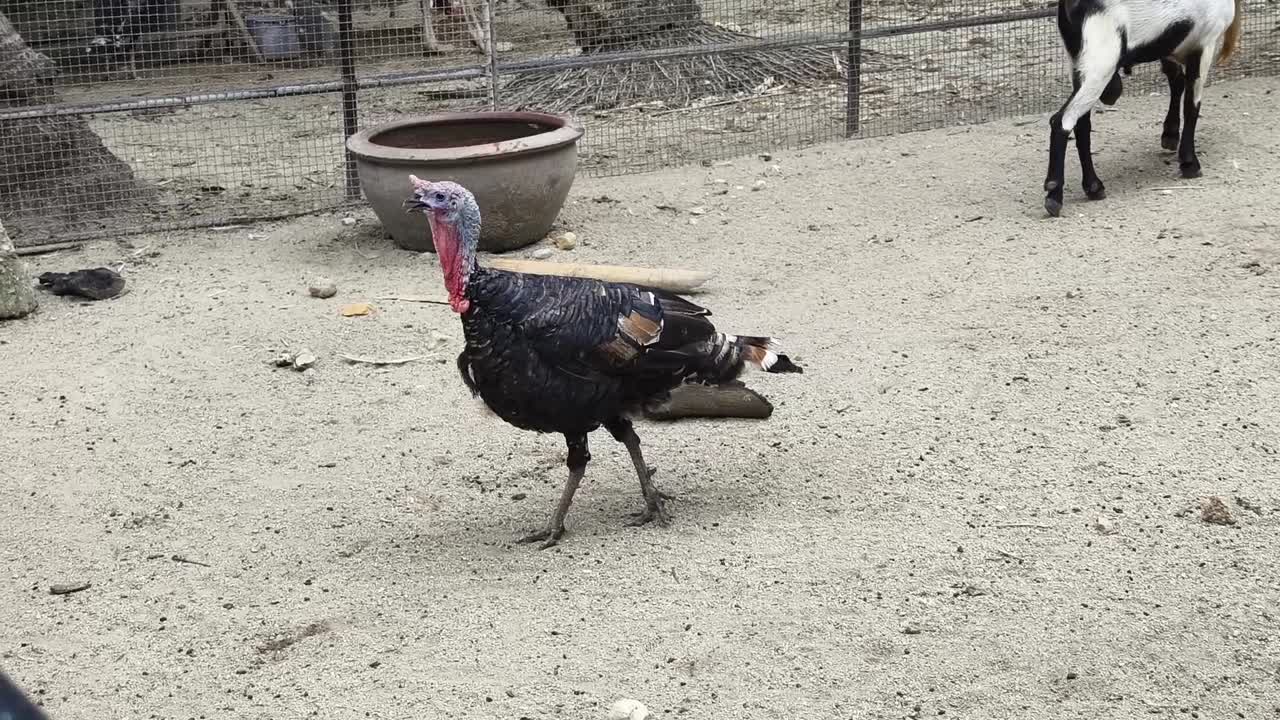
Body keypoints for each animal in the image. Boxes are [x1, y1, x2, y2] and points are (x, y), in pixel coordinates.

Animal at [1042, 0, 1243, 217]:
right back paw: (1054, 197)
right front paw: (1190, 164)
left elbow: (1176, 81)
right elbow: (1192, 104)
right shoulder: (1206, 43)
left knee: (1082, 125)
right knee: (1062, 121)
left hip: (1079, 66)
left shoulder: (1170, 48)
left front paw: (1170, 136)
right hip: (1100, 65)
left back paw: (1094, 187)